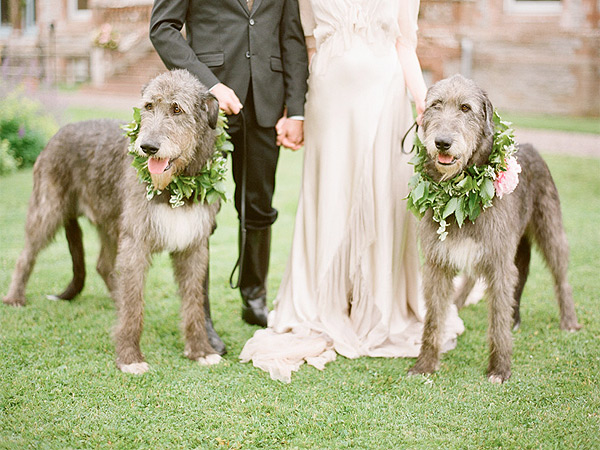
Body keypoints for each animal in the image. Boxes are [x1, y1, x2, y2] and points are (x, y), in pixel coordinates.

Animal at [2, 69, 223, 372]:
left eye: (177, 109)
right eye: (148, 106)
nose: (147, 147)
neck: (176, 185)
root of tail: (59, 132)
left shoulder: (193, 245)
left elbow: (193, 301)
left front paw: (200, 349)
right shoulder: (136, 241)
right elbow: (134, 306)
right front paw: (129, 357)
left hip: (110, 222)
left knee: (104, 266)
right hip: (47, 210)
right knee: (26, 256)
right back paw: (15, 297)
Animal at [408, 74, 580, 384]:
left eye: (465, 108)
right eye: (436, 105)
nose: (442, 143)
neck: (459, 191)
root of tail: (532, 146)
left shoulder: (499, 262)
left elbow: (497, 317)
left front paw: (499, 368)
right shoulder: (438, 264)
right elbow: (433, 317)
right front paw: (425, 363)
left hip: (550, 229)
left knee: (561, 278)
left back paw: (568, 321)